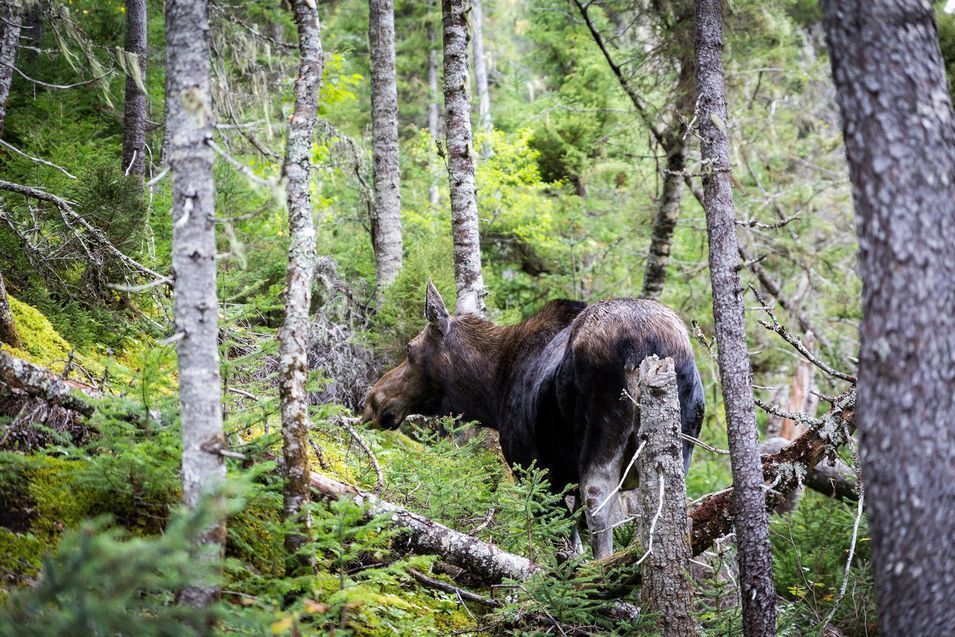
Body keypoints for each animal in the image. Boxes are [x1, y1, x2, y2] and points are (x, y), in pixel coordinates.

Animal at [362, 282, 704, 556]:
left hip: (602, 432)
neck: (494, 391)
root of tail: (646, 343)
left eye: (410, 349)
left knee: (598, 501)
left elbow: (564, 541)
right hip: (682, 437)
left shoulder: (534, 469)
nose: (373, 400)